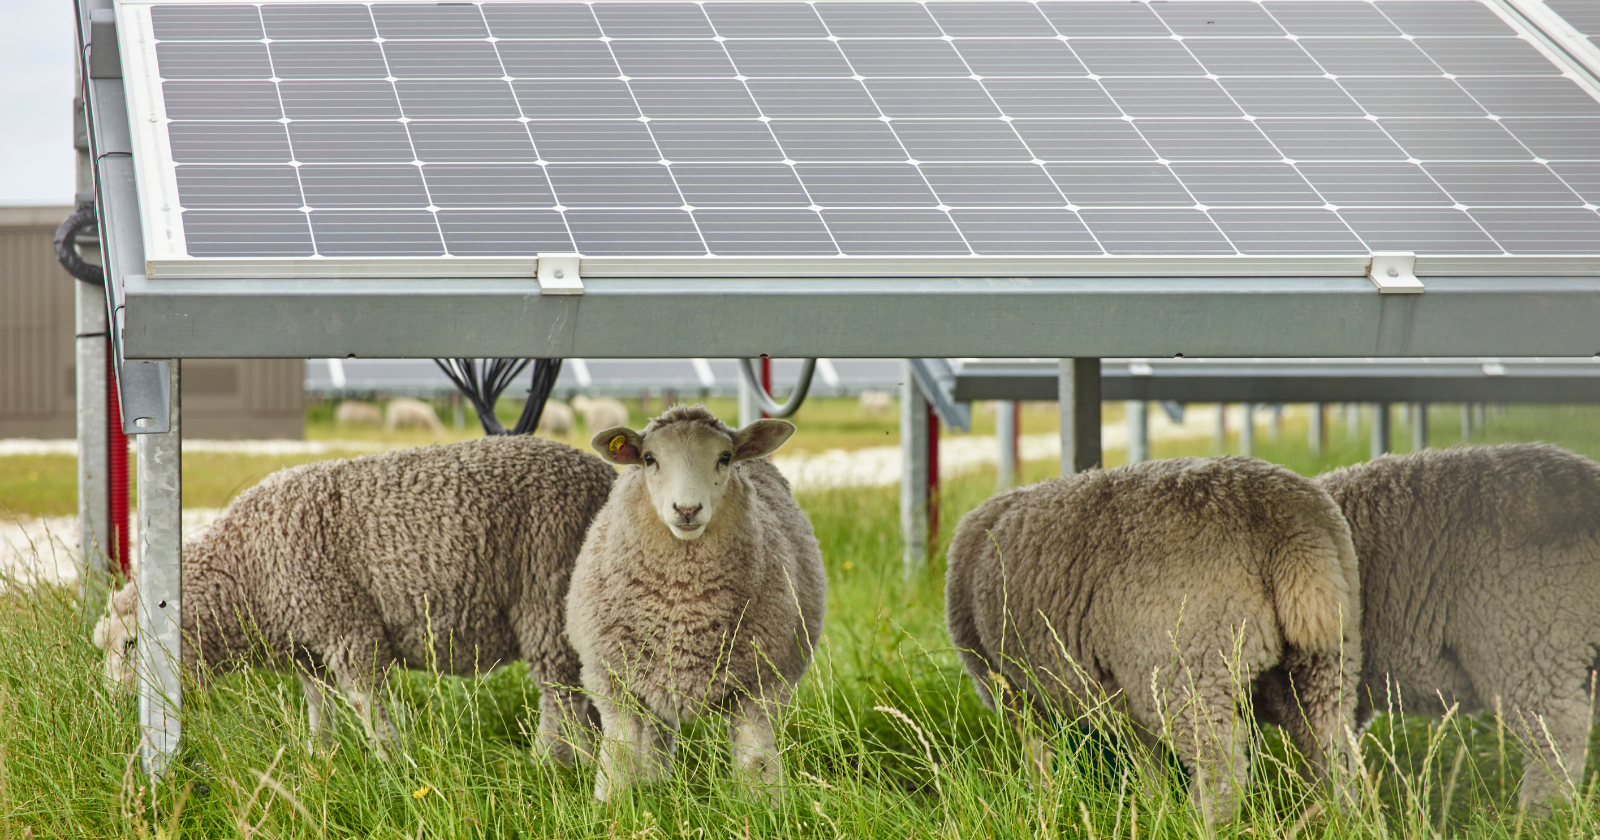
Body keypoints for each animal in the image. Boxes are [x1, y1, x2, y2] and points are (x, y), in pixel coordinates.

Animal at [92, 434, 616, 763]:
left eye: (133, 645)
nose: (111, 709)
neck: (247, 570)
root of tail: (605, 477)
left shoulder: (349, 629)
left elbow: (369, 707)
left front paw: (392, 765)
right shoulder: (308, 648)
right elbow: (319, 708)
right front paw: (319, 760)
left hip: (549, 595)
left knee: (562, 696)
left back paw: (549, 764)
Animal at [565, 405, 826, 801]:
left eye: (725, 457)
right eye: (649, 458)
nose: (687, 509)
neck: (685, 606)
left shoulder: (761, 684)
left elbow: (756, 761)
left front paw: (765, 807)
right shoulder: (611, 680)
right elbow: (619, 755)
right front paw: (611, 806)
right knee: (656, 735)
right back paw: (655, 783)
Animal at [946, 457, 1360, 820]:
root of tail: (1288, 524)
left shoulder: (1014, 693)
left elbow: (1039, 756)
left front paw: (1043, 804)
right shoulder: (1126, 697)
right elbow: (1147, 761)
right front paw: (1153, 806)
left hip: (1188, 667)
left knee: (1220, 769)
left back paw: (1202, 822)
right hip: (1323, 662)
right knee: (1333, 750)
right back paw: (1336, 817)